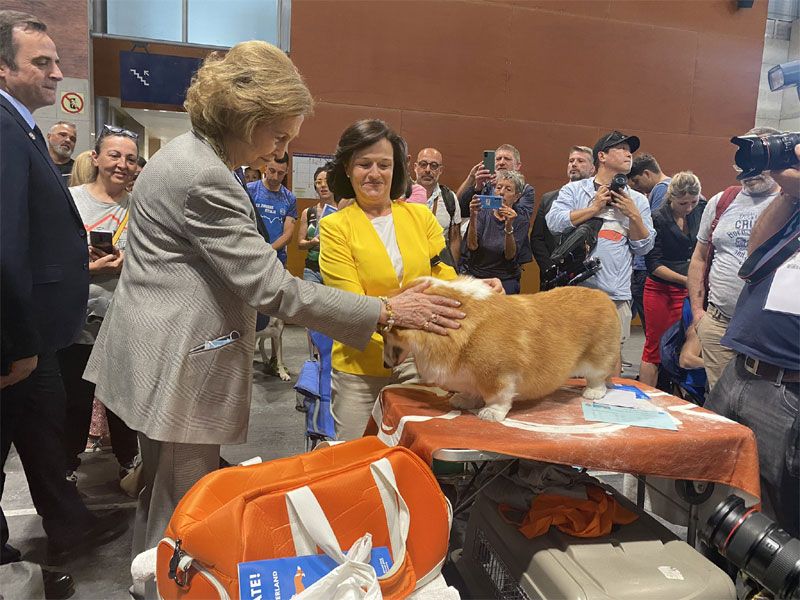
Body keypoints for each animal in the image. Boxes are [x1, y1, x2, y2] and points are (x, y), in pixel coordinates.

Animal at [384, 276, 620, 422]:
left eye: (386, 333)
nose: (385, 364)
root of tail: (604, 297)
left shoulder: (498, 375)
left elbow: (498, 397)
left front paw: (490, 413)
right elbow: (470, 390)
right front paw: (464, 400)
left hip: (599, 358)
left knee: (598, 377)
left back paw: (593, 392)